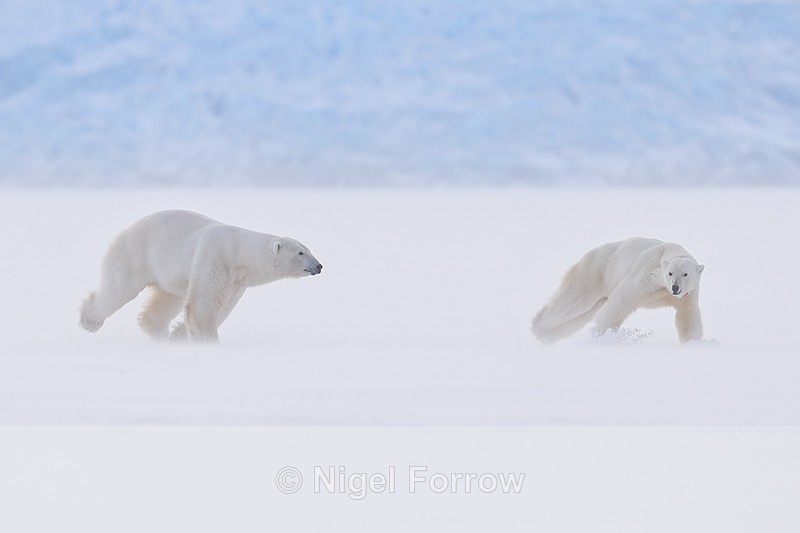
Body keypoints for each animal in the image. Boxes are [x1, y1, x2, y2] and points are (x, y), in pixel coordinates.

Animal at [79, 210, 323, 343]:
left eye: (308, 249)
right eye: (300, 253)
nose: (319, 266)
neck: (237, 251)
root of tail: (126, 230)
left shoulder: (236, 281)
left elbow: (222, 306)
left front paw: (179, 335)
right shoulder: (214, 260)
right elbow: (202, 304)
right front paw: (208, 341)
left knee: (167, 300)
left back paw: (158, 332)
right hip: (136, 253)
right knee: (118, 289)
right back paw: (89, 320)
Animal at [531, 237, 704, 344]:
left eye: (685, 274)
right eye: (670, 273)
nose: (675, 287)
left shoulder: (688, 294)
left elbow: (687, 316)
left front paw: (692, 343)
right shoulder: (646, 275)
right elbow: (622, 301)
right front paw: (601, 335)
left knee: (580, 315)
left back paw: (547, 335)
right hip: (595, 272)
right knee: (574, 302)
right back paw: (538, 328)